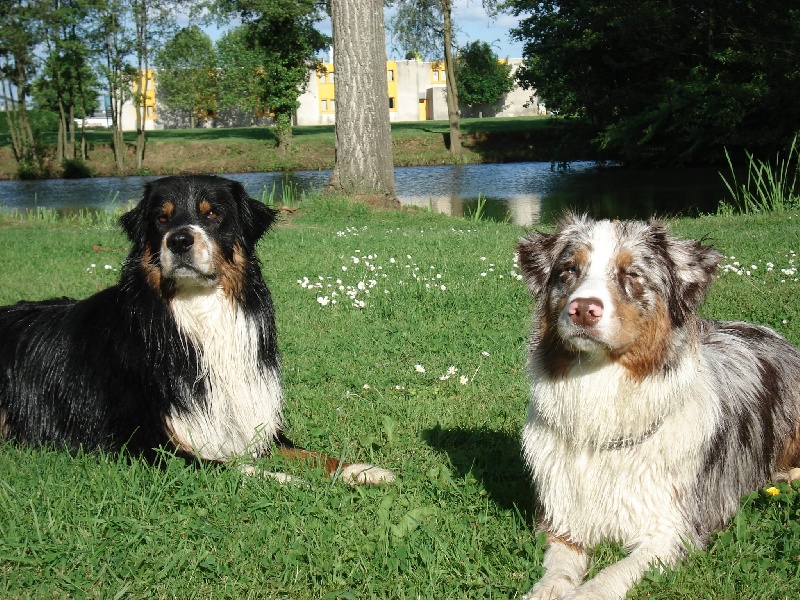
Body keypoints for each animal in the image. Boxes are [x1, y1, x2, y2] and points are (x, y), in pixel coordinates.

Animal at [0, 176, 394, 486]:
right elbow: (234, 467)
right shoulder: (145, 443)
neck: (200, 310)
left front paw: (361, 470)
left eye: (213, 214)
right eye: (161, 218)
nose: (179, 240)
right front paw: (291, 481)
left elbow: (309, 452)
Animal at [520, 216, 800, 600]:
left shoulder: (672, 530)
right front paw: (546, 589)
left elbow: (612, 575)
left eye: (632, 274)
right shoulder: (563, 521)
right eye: (569, 270)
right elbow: (557, 569)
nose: (583, 309)